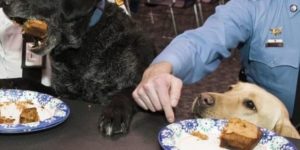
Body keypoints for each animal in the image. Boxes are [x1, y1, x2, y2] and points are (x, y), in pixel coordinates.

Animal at [1, 0, 157, 136]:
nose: (3, 3)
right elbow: (26, 82)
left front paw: (114, 113)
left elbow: (124, 94)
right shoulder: (62, 92)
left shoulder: (138, 85)